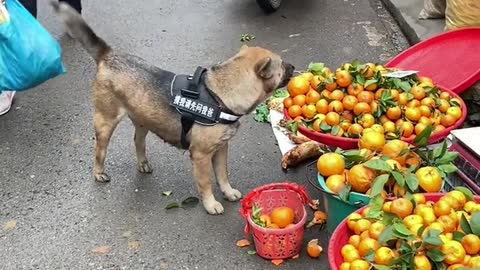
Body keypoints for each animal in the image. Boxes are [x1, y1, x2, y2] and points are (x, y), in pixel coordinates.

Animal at [50, 1, 294, 214]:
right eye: (282, 65)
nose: (293, 66)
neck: (219, 95)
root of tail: (109, 55)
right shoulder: (201, 156)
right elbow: (206, 183)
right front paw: (210, 204)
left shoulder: (221, 149)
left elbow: (223, 175)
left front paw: (227, 191)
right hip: (105, 122)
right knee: (99, 151)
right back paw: (99, 173)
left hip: (142, 119)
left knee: (138, 141)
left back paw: (143, 163)